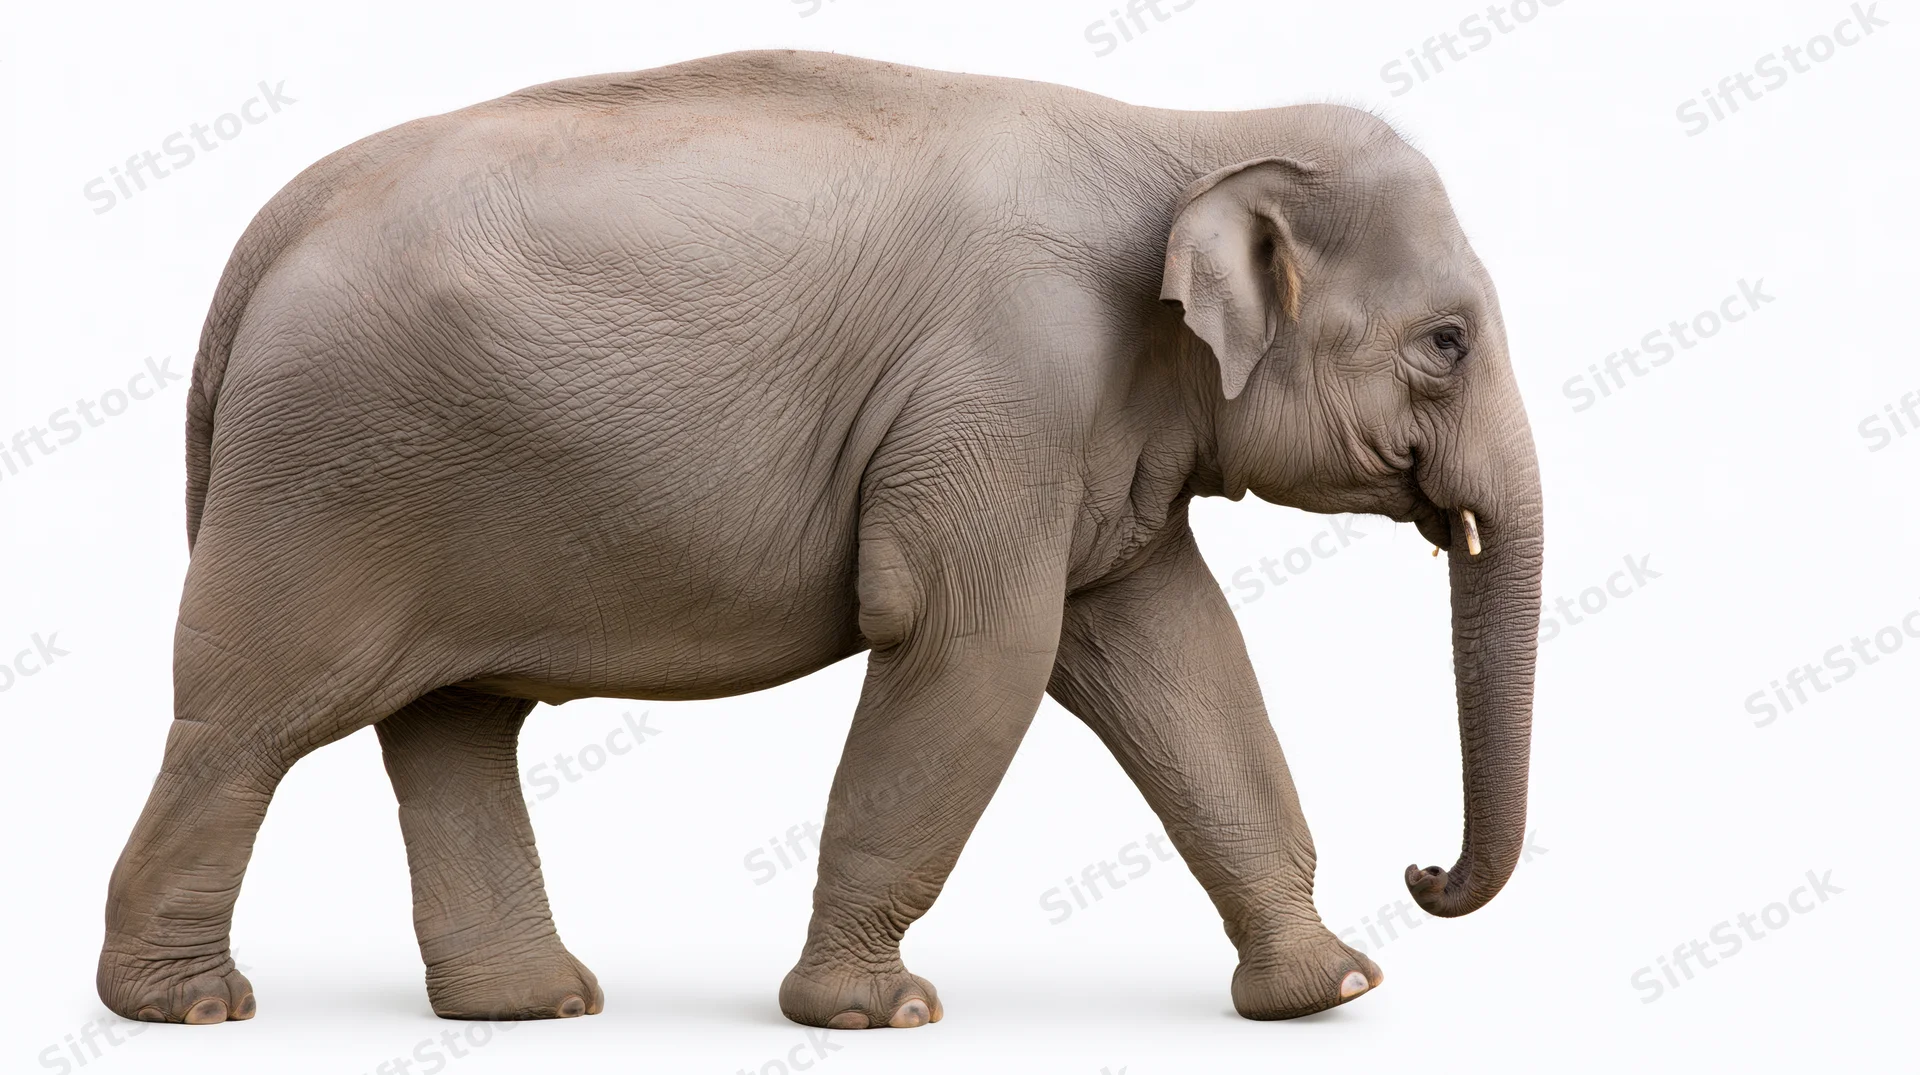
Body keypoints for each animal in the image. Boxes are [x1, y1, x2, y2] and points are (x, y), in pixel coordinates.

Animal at [98, 49, 1542, 1029]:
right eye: (1447, 342)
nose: (1423, 869)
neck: (1192, 131)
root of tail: (262, 240)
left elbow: (1175, 655)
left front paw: (1328, 991)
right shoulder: (1001, 391)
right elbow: (975, 651)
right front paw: (875, 1011)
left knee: (452, 724)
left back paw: (536, 1005)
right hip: (326, 478)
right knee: (248, 720)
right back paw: (187, 1007)